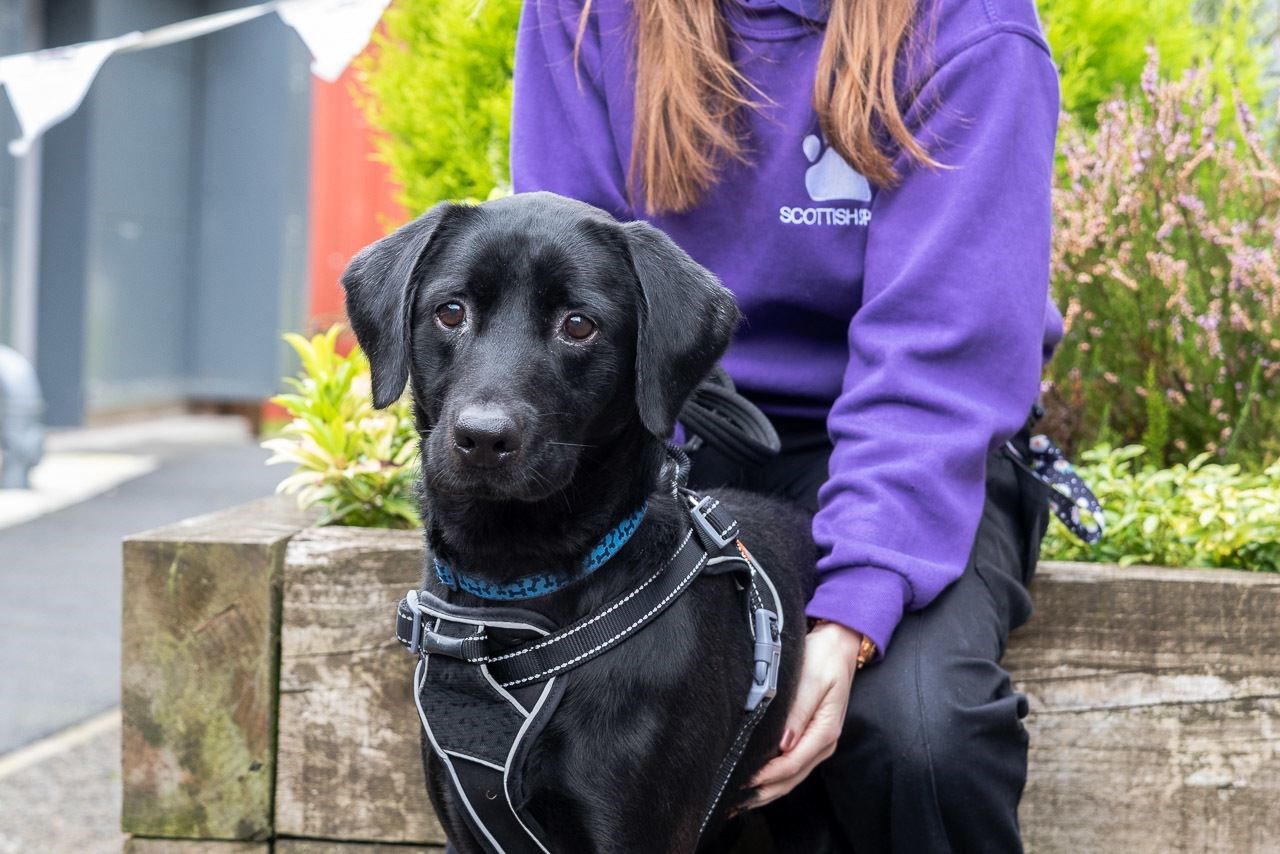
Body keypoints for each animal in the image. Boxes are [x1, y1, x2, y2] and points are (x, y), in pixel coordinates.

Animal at [345, 193, 814, 854]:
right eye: (450, 311)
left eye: (578, 325)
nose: (482, 438)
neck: (511, 591)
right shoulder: (464, 824)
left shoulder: (634, 830)